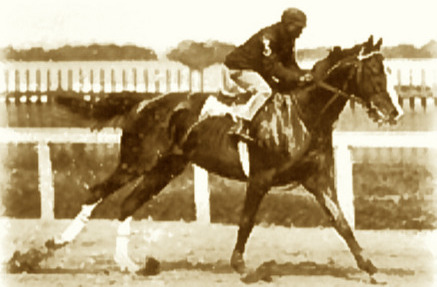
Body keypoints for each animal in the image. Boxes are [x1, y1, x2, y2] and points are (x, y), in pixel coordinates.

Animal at [10, 36, 400, 282]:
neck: (304, 114)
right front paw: (241, 267)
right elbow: (246, 221)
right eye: (375, 72)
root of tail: (143, 101)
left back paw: (131, 265)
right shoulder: (260, 178)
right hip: (137, 162)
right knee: (96, 193)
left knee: (126, 204)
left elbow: (342, 223)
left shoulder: (319, 180)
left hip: (165, 169)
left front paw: (370, 267)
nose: (394, 112)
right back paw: (46, 249)